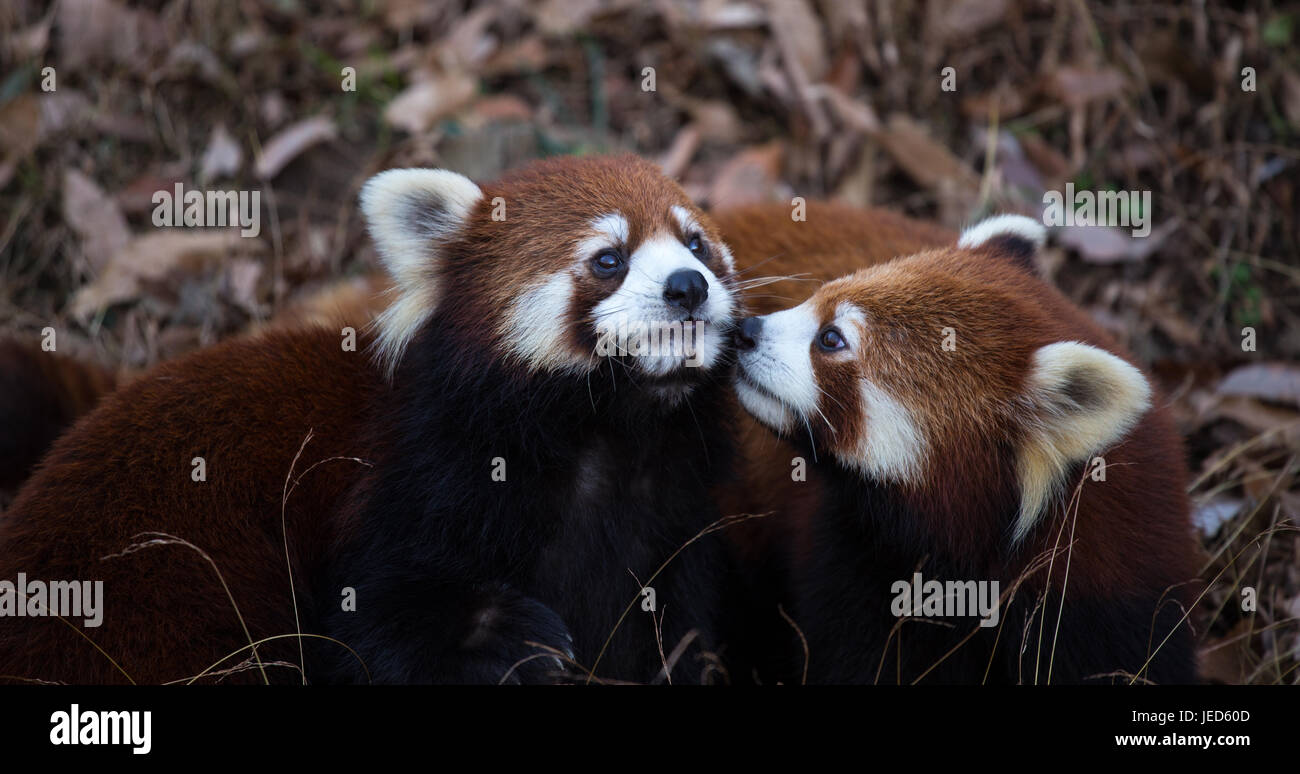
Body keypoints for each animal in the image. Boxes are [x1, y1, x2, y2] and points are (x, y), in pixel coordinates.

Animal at [2, 156, 743, 686]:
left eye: (697, 244)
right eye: (609, 259)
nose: (688, 286)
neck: (605, 438)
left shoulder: (671, 517)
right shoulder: (416, 478)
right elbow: (367, 628)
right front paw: (502, 635)